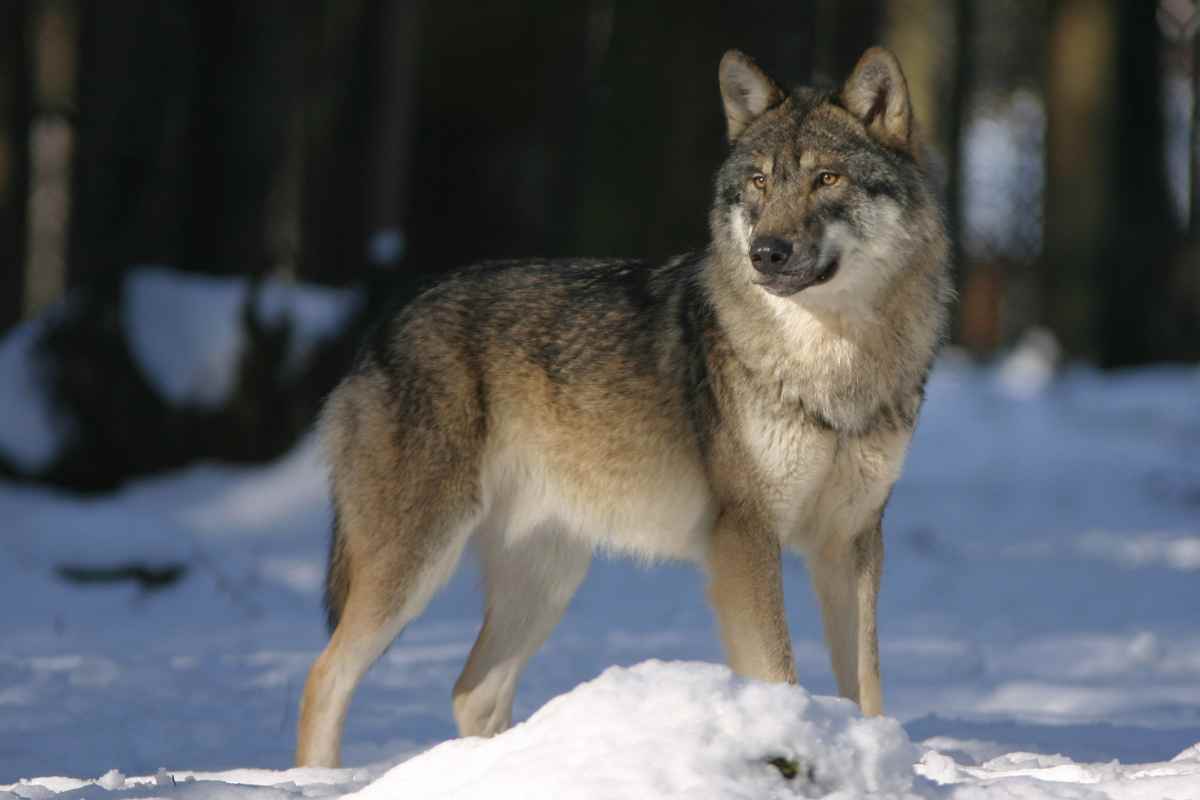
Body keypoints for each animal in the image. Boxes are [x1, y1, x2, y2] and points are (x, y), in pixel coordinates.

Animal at [295, 45, 950, 767]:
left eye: (826, 178)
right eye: (757, 182)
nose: (766, 254)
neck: (832, 365)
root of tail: (384, 324)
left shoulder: (852, 541)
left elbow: (867, 686)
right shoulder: (746, 538)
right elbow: (780, 672)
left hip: (548, 577)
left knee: (471, 690)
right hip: (416, 564)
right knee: (324, 675)